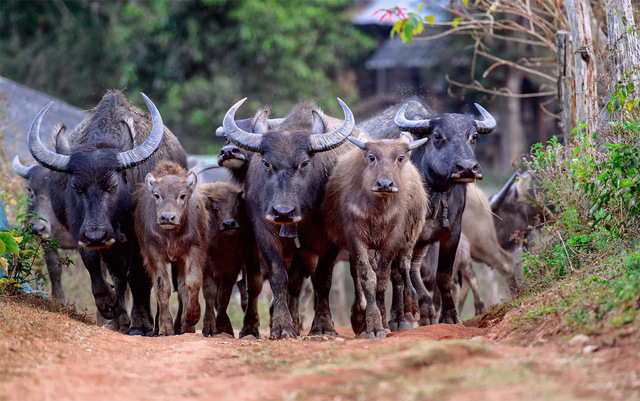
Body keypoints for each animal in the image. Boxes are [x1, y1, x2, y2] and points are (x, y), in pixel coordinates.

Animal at [28, 90, 188, 334]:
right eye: (77, 187)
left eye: (112, 185)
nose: (96, 235)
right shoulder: (80, 229)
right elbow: (93, 261)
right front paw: (108, 304)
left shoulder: (139, 237)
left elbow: (138, 276)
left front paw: (140, 323)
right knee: (118, 274)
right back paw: (120, 320)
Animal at [134, 159, 209, 334]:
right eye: (157, 195)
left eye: (182, 195)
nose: (167, 217)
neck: (171, 235)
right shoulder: (154, 254)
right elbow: (163, 288)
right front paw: (166, 328)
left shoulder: (194, 251)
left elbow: (192, 282)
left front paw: (192, 316)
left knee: (182, 288)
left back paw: (186, 326)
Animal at [222, 97, 358, 338]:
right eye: (266, 163)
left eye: (304, 163)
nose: (283, 212)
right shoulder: (264, 234)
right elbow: (278, 278)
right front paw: (282, 326)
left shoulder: (330, 242)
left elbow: (323, 280)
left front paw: (323, 326)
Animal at [322, 134, 428, 338]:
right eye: (371, 157)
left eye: (400, 157)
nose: (385, 184)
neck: (378, 211)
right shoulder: (356, 238)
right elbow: (368, 278)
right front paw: (373, 325)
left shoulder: (394, 238)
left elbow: (382, 280)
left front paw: (383, 323)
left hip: (410, 237)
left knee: (402, 269)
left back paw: (407, 314)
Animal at [358, 99, 502, 324]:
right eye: (437, 136)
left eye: (474, 136)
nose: (467, 168)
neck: (433, 192)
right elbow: (397, 276)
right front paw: (398, 318)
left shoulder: (452, 233)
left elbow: (443, 276)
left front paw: (450, 316)